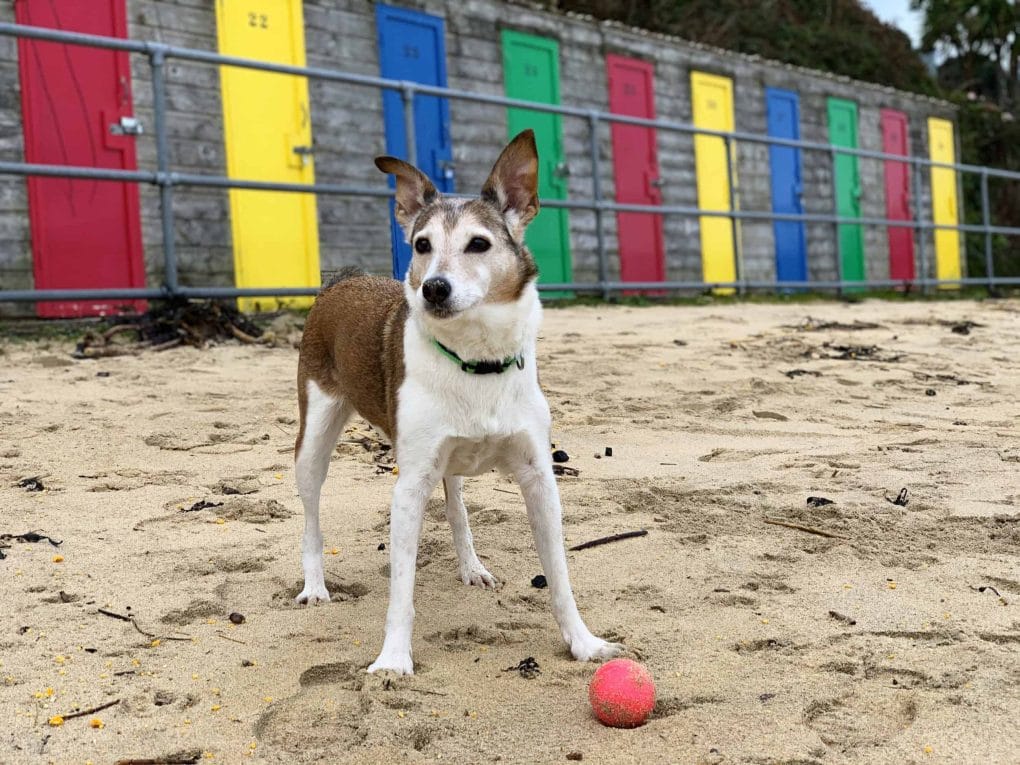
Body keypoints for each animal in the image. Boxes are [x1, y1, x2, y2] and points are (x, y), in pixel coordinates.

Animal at [291, 131, 616, 677]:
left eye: (478, 244)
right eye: (422, 245)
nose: (433, 288)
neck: (476, 360)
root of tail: (344, 279)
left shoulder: (539, 478)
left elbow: (559, 575)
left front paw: (582, 642)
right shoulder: (409, 485)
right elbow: (401, 591)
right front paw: (393, 660)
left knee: (457, 505)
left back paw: (472, 565)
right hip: (314, 434)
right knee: (312, 509)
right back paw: (315, 584)